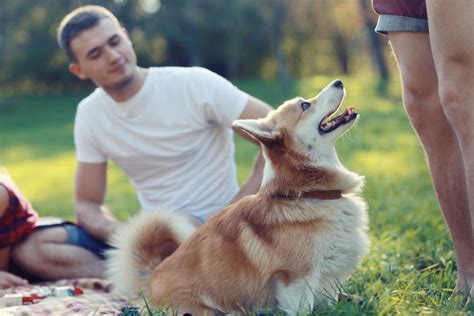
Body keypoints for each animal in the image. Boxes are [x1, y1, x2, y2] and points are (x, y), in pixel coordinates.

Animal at [106, 79, 370, 314]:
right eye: (305, 105)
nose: (338, 82)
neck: (307, 193)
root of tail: (152, 277)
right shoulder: (295, 279)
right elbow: (303, 310)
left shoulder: (329, 279)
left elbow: (332, 303)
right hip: (202, 310)